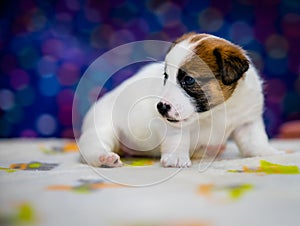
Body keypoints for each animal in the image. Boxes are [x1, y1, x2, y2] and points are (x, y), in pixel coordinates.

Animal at [78, 33, 280, 168]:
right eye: (166, 76)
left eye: (189, 80)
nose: (160, 107)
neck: (216, 111)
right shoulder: (173, 125)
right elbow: (177, 139)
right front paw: (176, 157)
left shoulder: (247, 121)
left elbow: (255, 141)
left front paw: (267, 152)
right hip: (101, 130)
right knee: (92, 147)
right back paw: (105, 159)